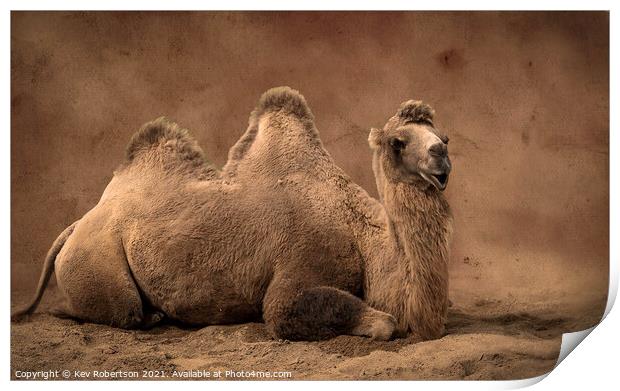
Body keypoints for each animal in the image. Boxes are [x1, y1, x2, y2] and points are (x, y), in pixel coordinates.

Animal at [12, 87, 452, 342]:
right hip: (97, 260)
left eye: (443, 137)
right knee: (123, 311)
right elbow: (372, 320)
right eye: (398, 142)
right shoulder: (301, 270)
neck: (362, 235)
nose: (441, 156)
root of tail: (75, 225)